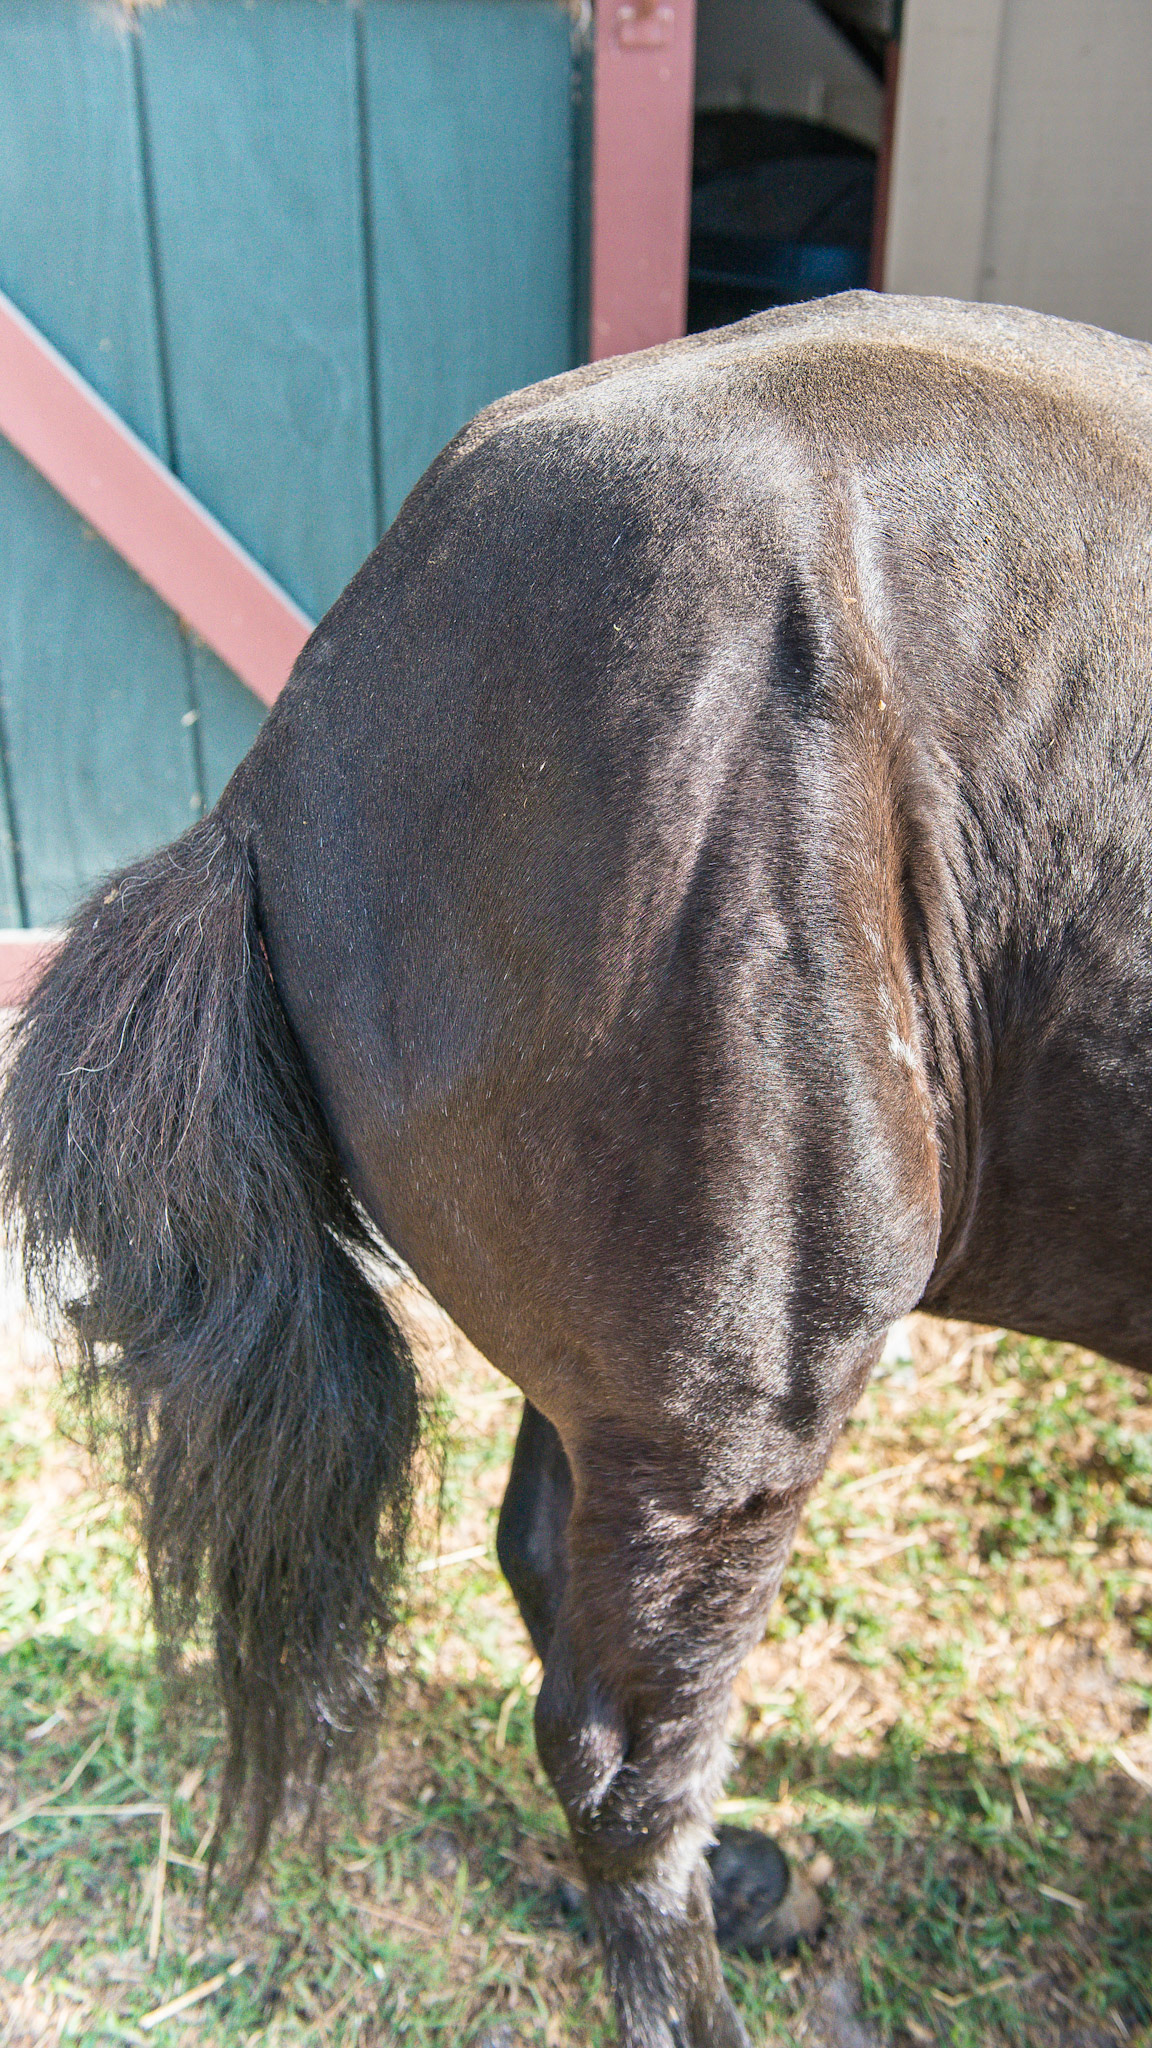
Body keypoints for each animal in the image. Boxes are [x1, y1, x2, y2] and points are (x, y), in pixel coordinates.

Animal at [3, 289, 1151, 2048]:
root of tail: (281, 772)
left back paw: (745, 1880)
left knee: (563, 1601)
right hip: (730, 1402)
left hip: (621, 1374)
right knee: (626, 1748)